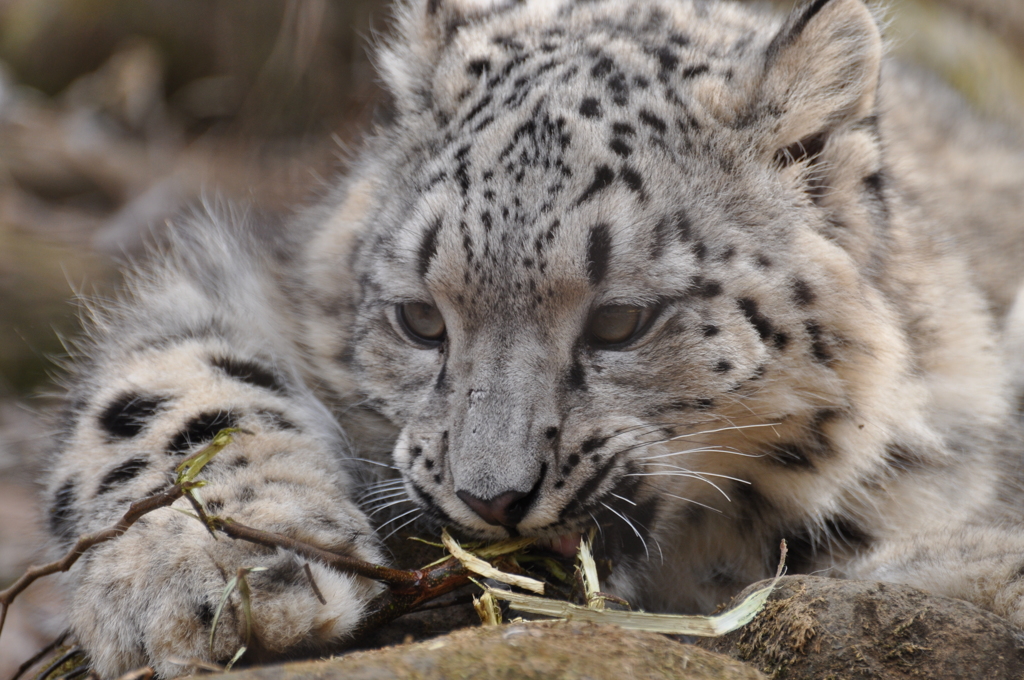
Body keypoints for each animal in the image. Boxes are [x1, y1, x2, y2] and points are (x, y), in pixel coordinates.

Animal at [44, 0, 1024, 675]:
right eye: (420, 318)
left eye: (622, 320)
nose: (493, 497)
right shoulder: (253, 292)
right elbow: (171, 389)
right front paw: (212, 577)